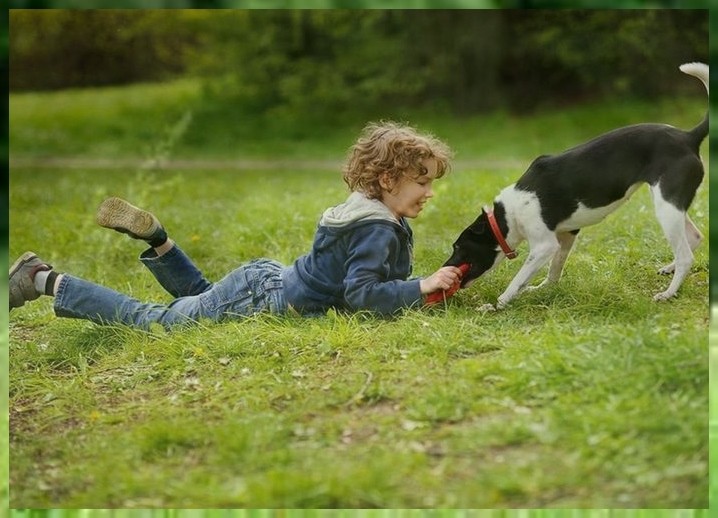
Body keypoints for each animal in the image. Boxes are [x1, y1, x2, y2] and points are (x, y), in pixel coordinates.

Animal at [444, 63, 708, 310]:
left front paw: (497, 305)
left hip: (666, 207)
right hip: (669, 204)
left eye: (458, 247)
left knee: (685, 255)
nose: (444, 267)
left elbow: (517, 280)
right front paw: (544, 289)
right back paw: (669, 269)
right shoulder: (566, 236)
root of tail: (688, 137)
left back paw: (668, 293)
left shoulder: (543, 246)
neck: (507, 216)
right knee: (694, 237)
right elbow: (554, 270)